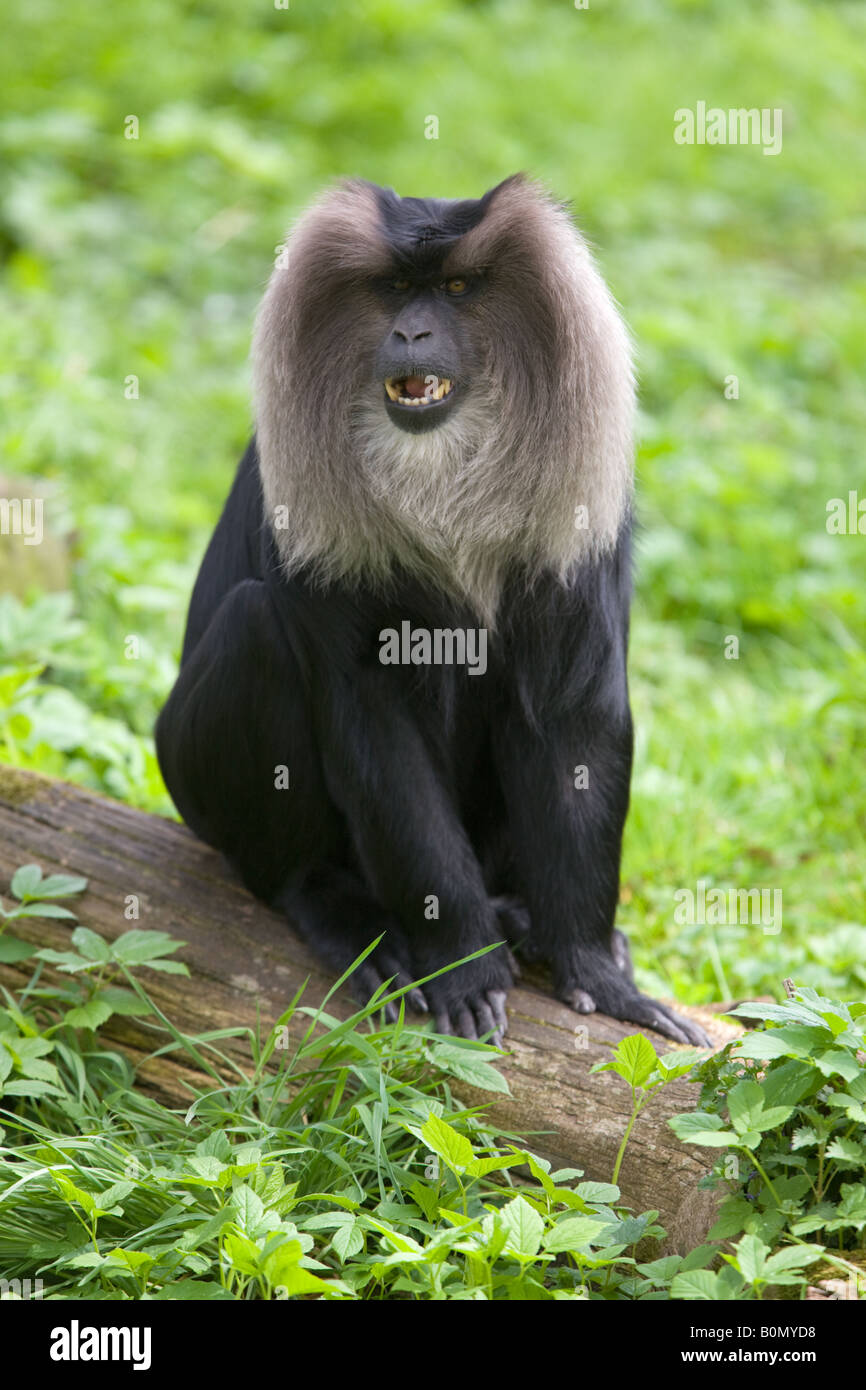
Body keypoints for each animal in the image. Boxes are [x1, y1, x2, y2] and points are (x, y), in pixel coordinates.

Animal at [155, 175, 710, 1049]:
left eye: (455, 289)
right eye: (391, 289)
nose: (411, 331)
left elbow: (573, 719)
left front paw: (596, 970)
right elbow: (376, 730)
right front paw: (463, 967)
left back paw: (524, 916)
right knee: (255, 632)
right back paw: (345, 915)